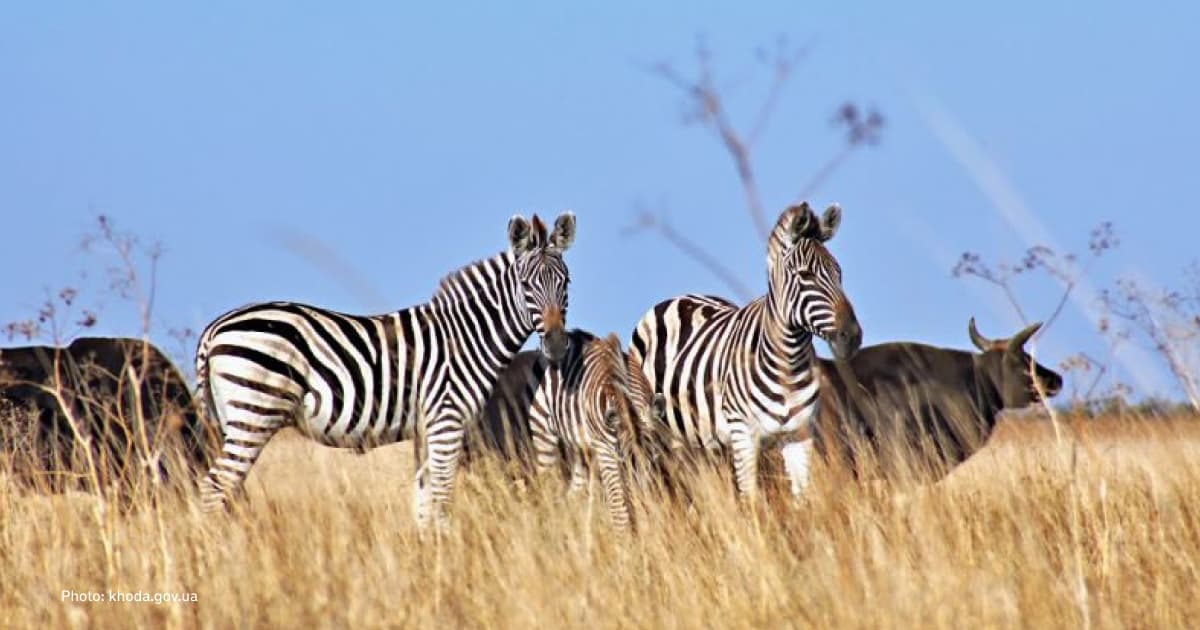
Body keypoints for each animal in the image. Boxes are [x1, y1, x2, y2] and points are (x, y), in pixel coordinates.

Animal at [195, 211, 576, 525]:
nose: (557, 344)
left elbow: (423, 503)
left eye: (566, 282)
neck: (466, 335)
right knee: (214, 489)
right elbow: (441, 499)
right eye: (525, 285)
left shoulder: (425, 428)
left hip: (234, 417)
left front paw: (426, 557)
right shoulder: (446, 419)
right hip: (256, 410)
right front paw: (444, 558)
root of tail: (214, 329)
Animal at [470, 328, 676, 530]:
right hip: (544, 439)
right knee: (550, 489)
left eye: (652, 458)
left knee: (574, 497)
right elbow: (619, 507)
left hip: (579, 451)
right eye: (623, 460)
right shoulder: (607, 451)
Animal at [628, 204, 864, 499]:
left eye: (838, 273)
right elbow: (751, 499)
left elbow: (802, 497)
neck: (788, 360)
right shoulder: (743, 435)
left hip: (705, 440)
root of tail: (679, 297)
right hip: (655, 427)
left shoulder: (799, 434)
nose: (852, 337)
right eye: (805, 275)